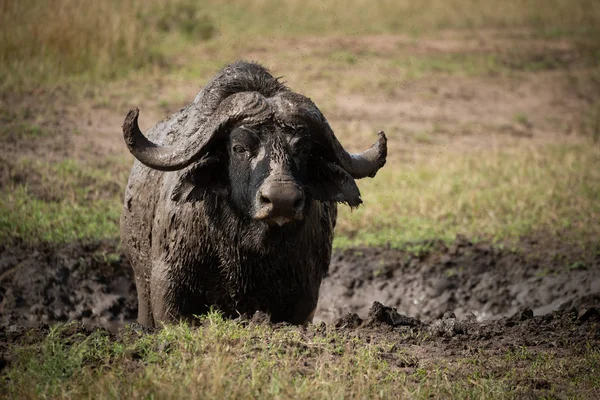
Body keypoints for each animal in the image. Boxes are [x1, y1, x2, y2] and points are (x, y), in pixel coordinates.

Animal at [120, 61, 390, 326]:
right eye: (239, 148)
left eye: (303, 149)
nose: (282, 201)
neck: (247, 251)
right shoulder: (168, 287)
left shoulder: (304, 297)